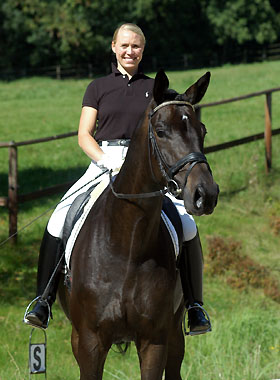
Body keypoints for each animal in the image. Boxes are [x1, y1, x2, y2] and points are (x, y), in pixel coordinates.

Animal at [57, 69, 219, 380]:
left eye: (203, 130)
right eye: (161, 131)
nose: (205, 195)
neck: (126, 242)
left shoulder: (154, 340)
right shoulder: (90, 342)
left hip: (174, 333)